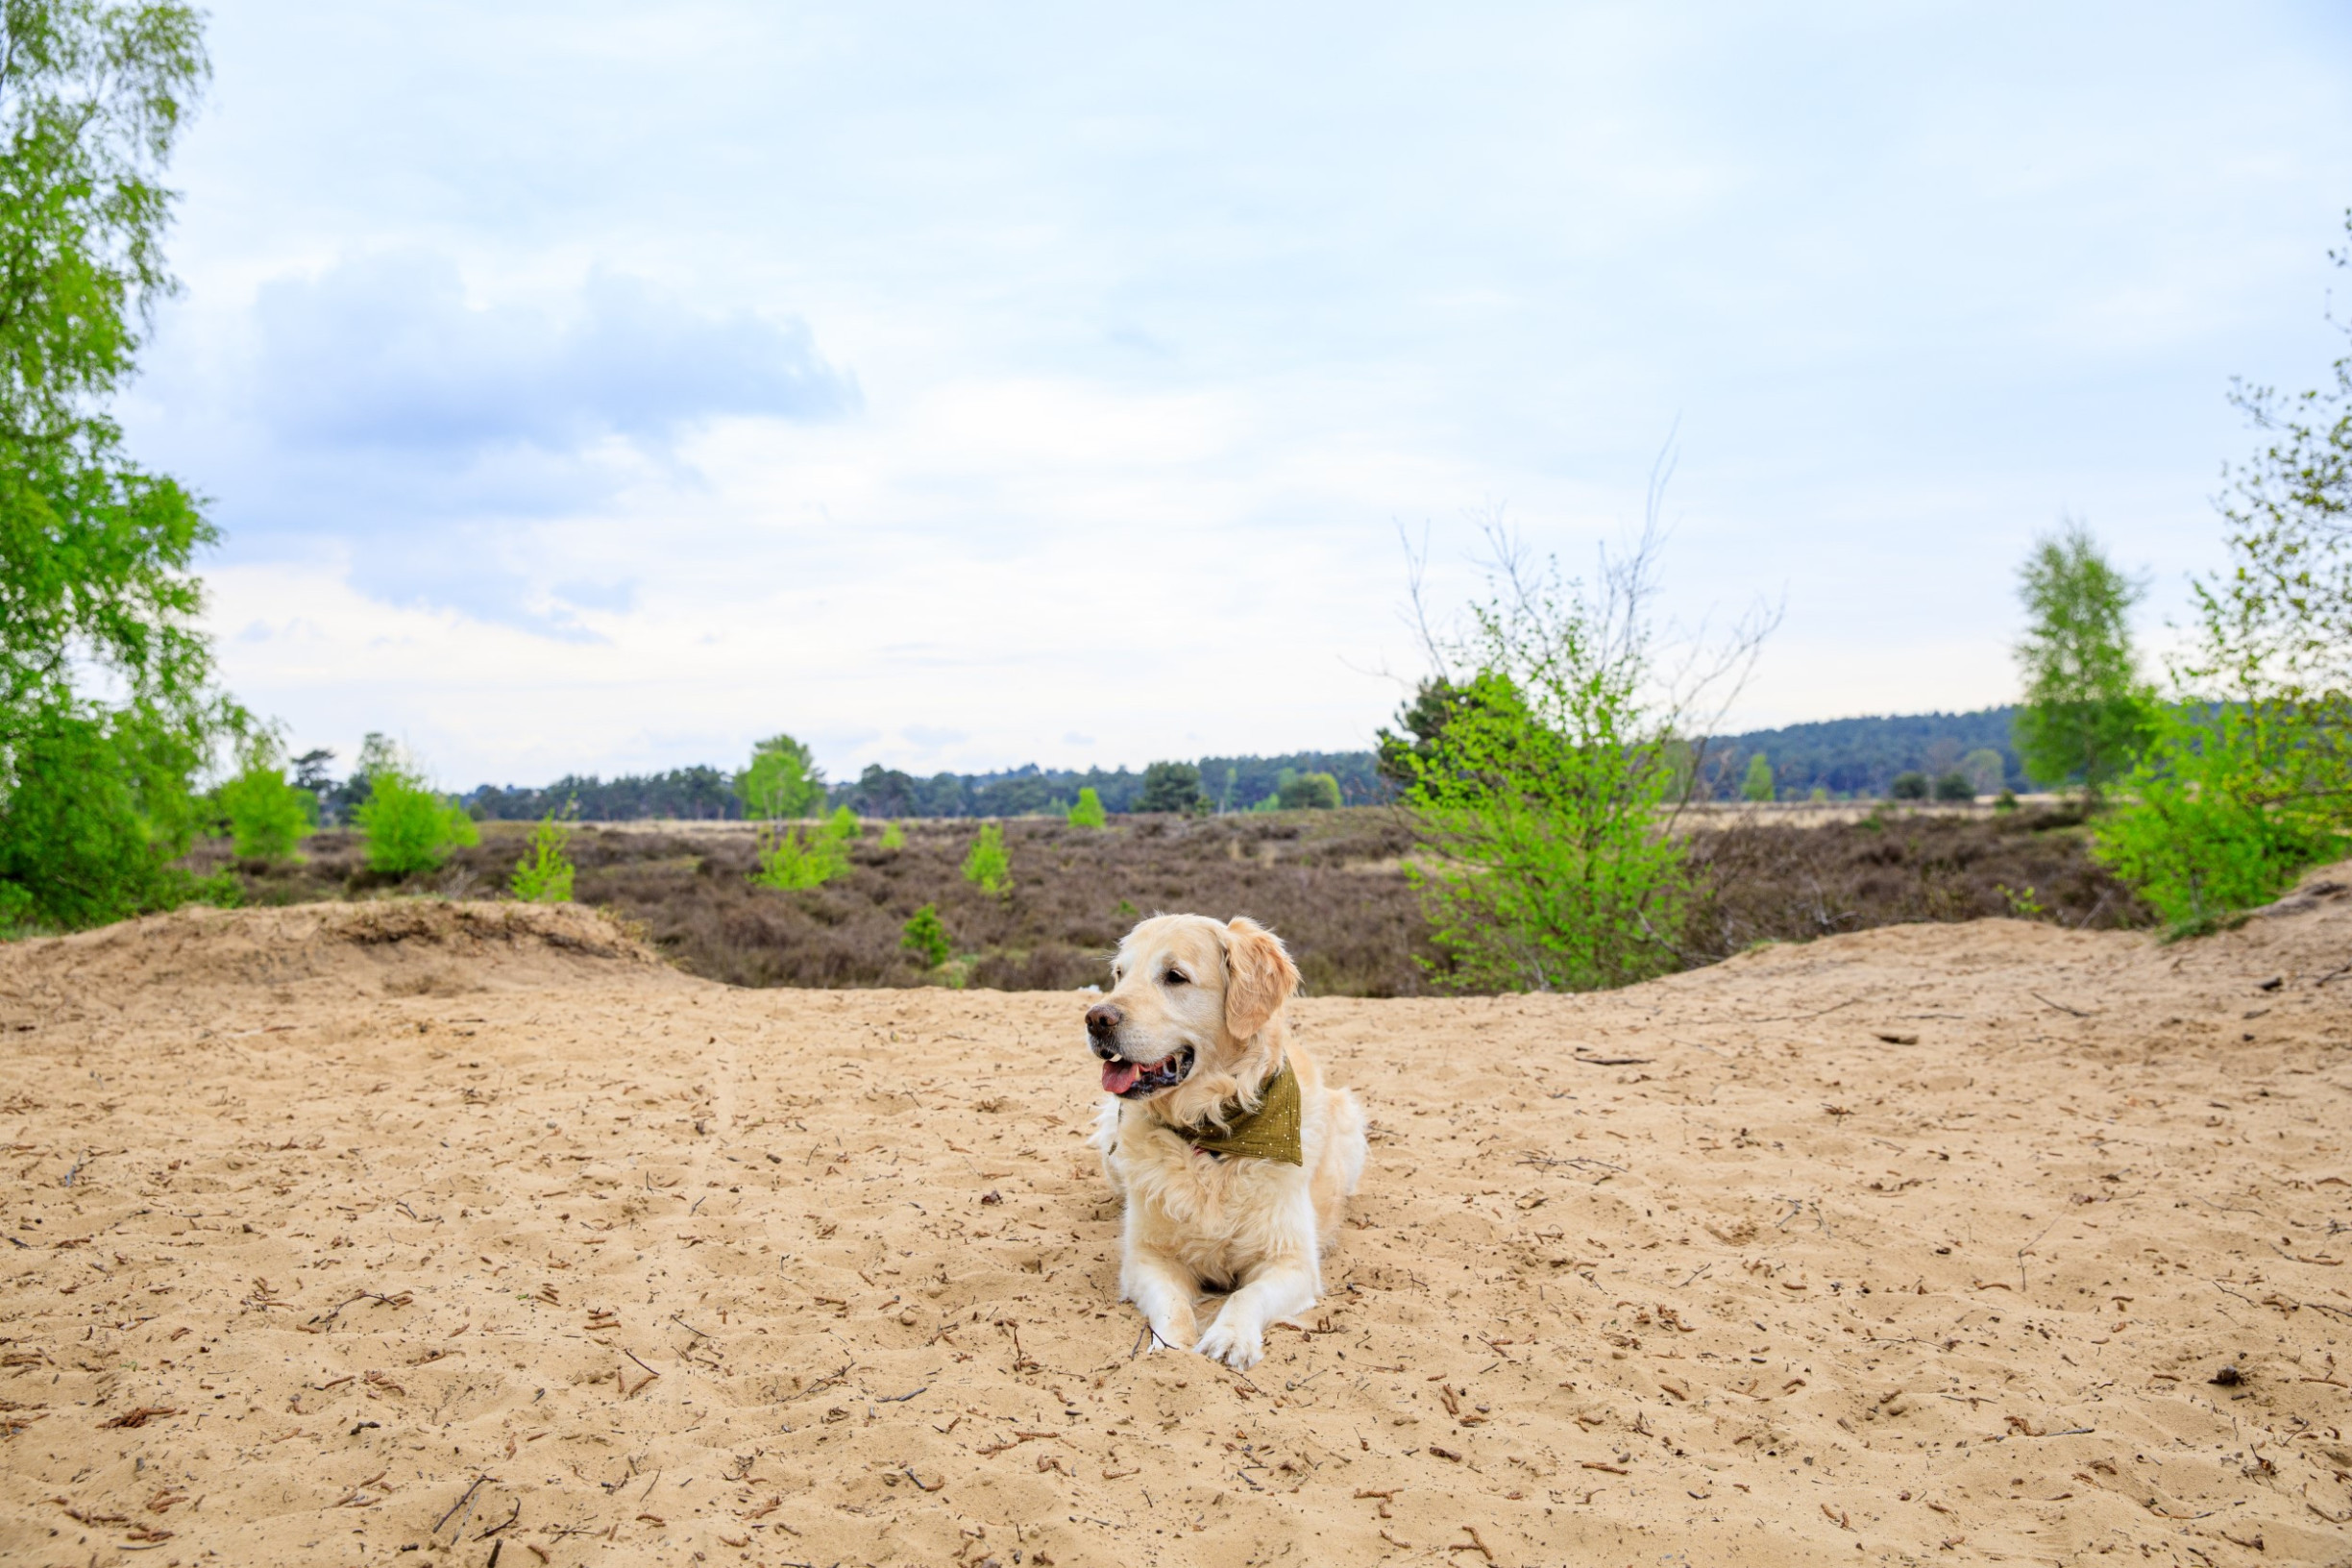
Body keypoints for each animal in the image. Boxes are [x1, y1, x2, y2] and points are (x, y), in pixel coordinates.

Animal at [1077, 912, 1363, 1363]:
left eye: (1175, 976)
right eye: (1120, 974)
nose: (1095, 1019)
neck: (1212, 1138)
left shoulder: (1292, 1262)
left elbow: (1246, 1295)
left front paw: (1230, 1338)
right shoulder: (1146, 1258)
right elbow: (1172, 1305)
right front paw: (1169, 1348)